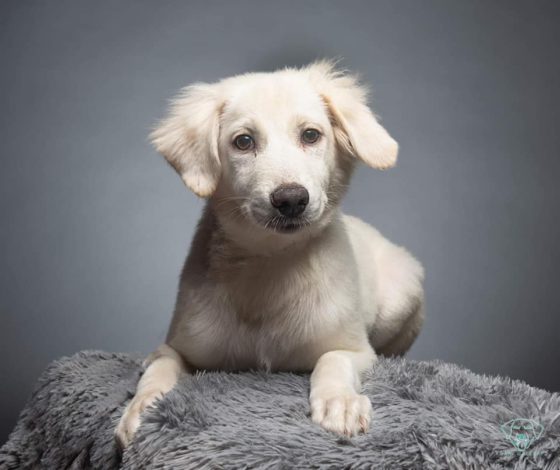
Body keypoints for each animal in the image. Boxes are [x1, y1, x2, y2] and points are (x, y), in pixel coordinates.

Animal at [117, 60, 424, 446]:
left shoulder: (355, 349)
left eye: (311, 135)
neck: (268, 263)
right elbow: (160, 368)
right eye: (243, 141)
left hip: (405, 291)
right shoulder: (181, 346)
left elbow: (332, 362)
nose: (291, 199)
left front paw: (340, 402)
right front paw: (141, 409)